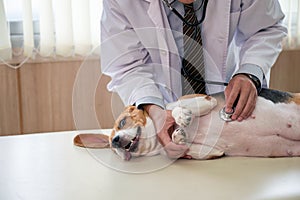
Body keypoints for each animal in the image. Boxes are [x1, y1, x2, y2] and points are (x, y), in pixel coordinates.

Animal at [73, 88, 300, 160]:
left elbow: (175, 107)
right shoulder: (211, 151)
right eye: (112, 148)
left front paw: (181, 117)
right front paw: (178, 135)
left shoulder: (205, 99)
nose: (116, 141)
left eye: (122, 122)